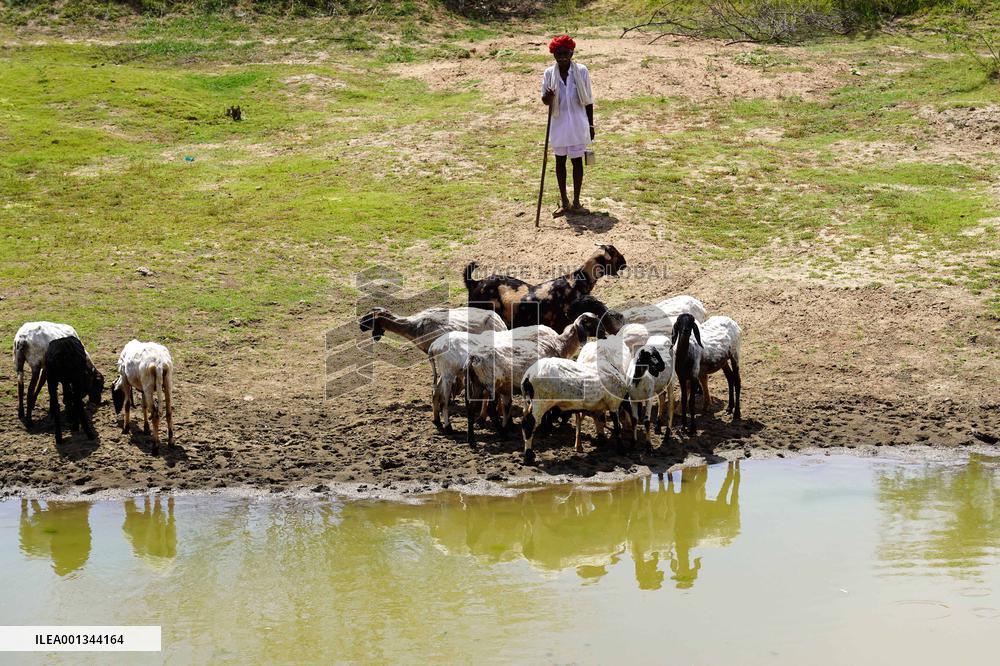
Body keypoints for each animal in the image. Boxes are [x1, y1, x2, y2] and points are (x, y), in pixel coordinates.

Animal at [464, 312, 598, 444]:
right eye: (593, 322)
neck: (561, 344)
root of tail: (473, 358)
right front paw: (546, 428)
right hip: (490, 383)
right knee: (491, 410)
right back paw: (503, 435)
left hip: (477, 384)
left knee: (471, 408)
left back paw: (472, 439)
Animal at [519, 334, 631, 465]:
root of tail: (528, 376)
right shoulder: (614, 402)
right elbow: (617, 427)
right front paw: (621, 449)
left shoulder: (599, 407)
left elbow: (600, 421)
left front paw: (602, 440)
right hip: (540, 401)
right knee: (530, 424)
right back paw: (528, 456)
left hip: (528, 402)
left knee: (524, 422)